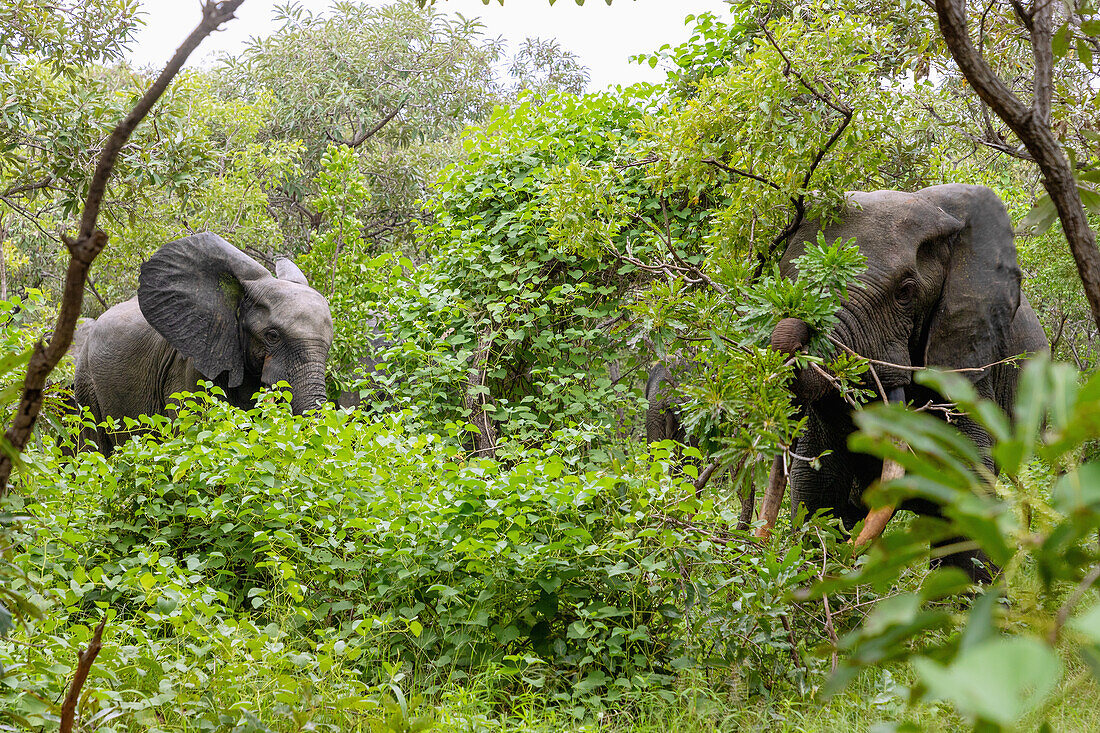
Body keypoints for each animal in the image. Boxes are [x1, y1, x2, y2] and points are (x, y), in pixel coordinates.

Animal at [756, 182, 1047, 581]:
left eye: (905, 292)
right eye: (788, 279)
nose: (799, 328)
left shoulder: (967, 361)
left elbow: (966, 495)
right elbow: (817, 489)